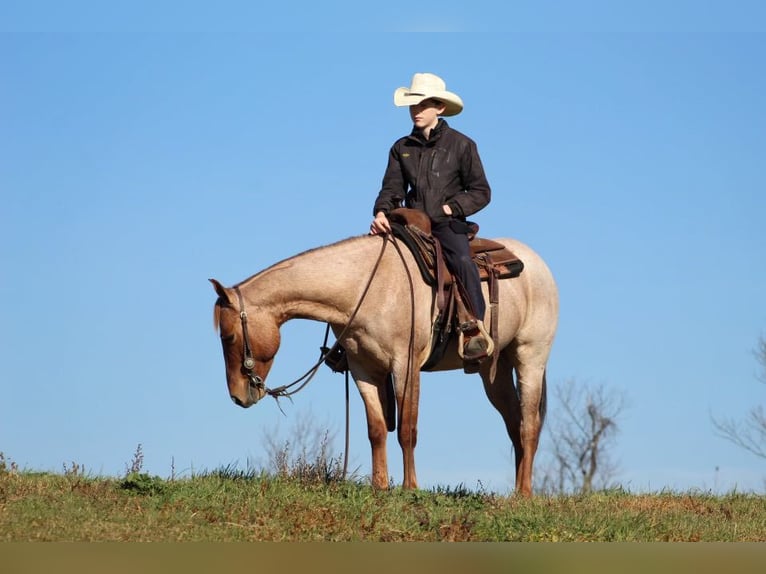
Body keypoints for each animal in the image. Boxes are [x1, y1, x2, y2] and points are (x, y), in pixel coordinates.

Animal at [210, 232, 560, 498]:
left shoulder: (405, 365)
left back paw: (524, 495)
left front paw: (410, 487)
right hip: (494, 371)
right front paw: (380, 486)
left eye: (228, 336)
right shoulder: (364, 369)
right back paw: (517, 489)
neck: (365, 287)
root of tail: (538, 265)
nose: (238, 396)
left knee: (528, 424)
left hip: (530, 357)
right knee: (514, 423)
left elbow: (407, 429)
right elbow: (377, 429)